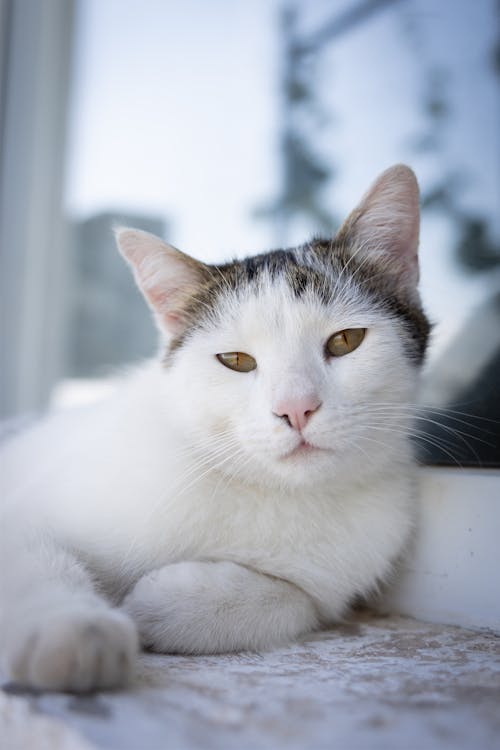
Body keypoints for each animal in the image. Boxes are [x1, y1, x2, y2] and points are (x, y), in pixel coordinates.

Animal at [0, 164, 430, 692]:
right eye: (236, 361)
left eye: (346, 340)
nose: (296, 408)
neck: (275, 495)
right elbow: (33, 555)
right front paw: (76, 629)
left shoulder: (347, 562)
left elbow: (296, 599)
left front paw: (163, 604)